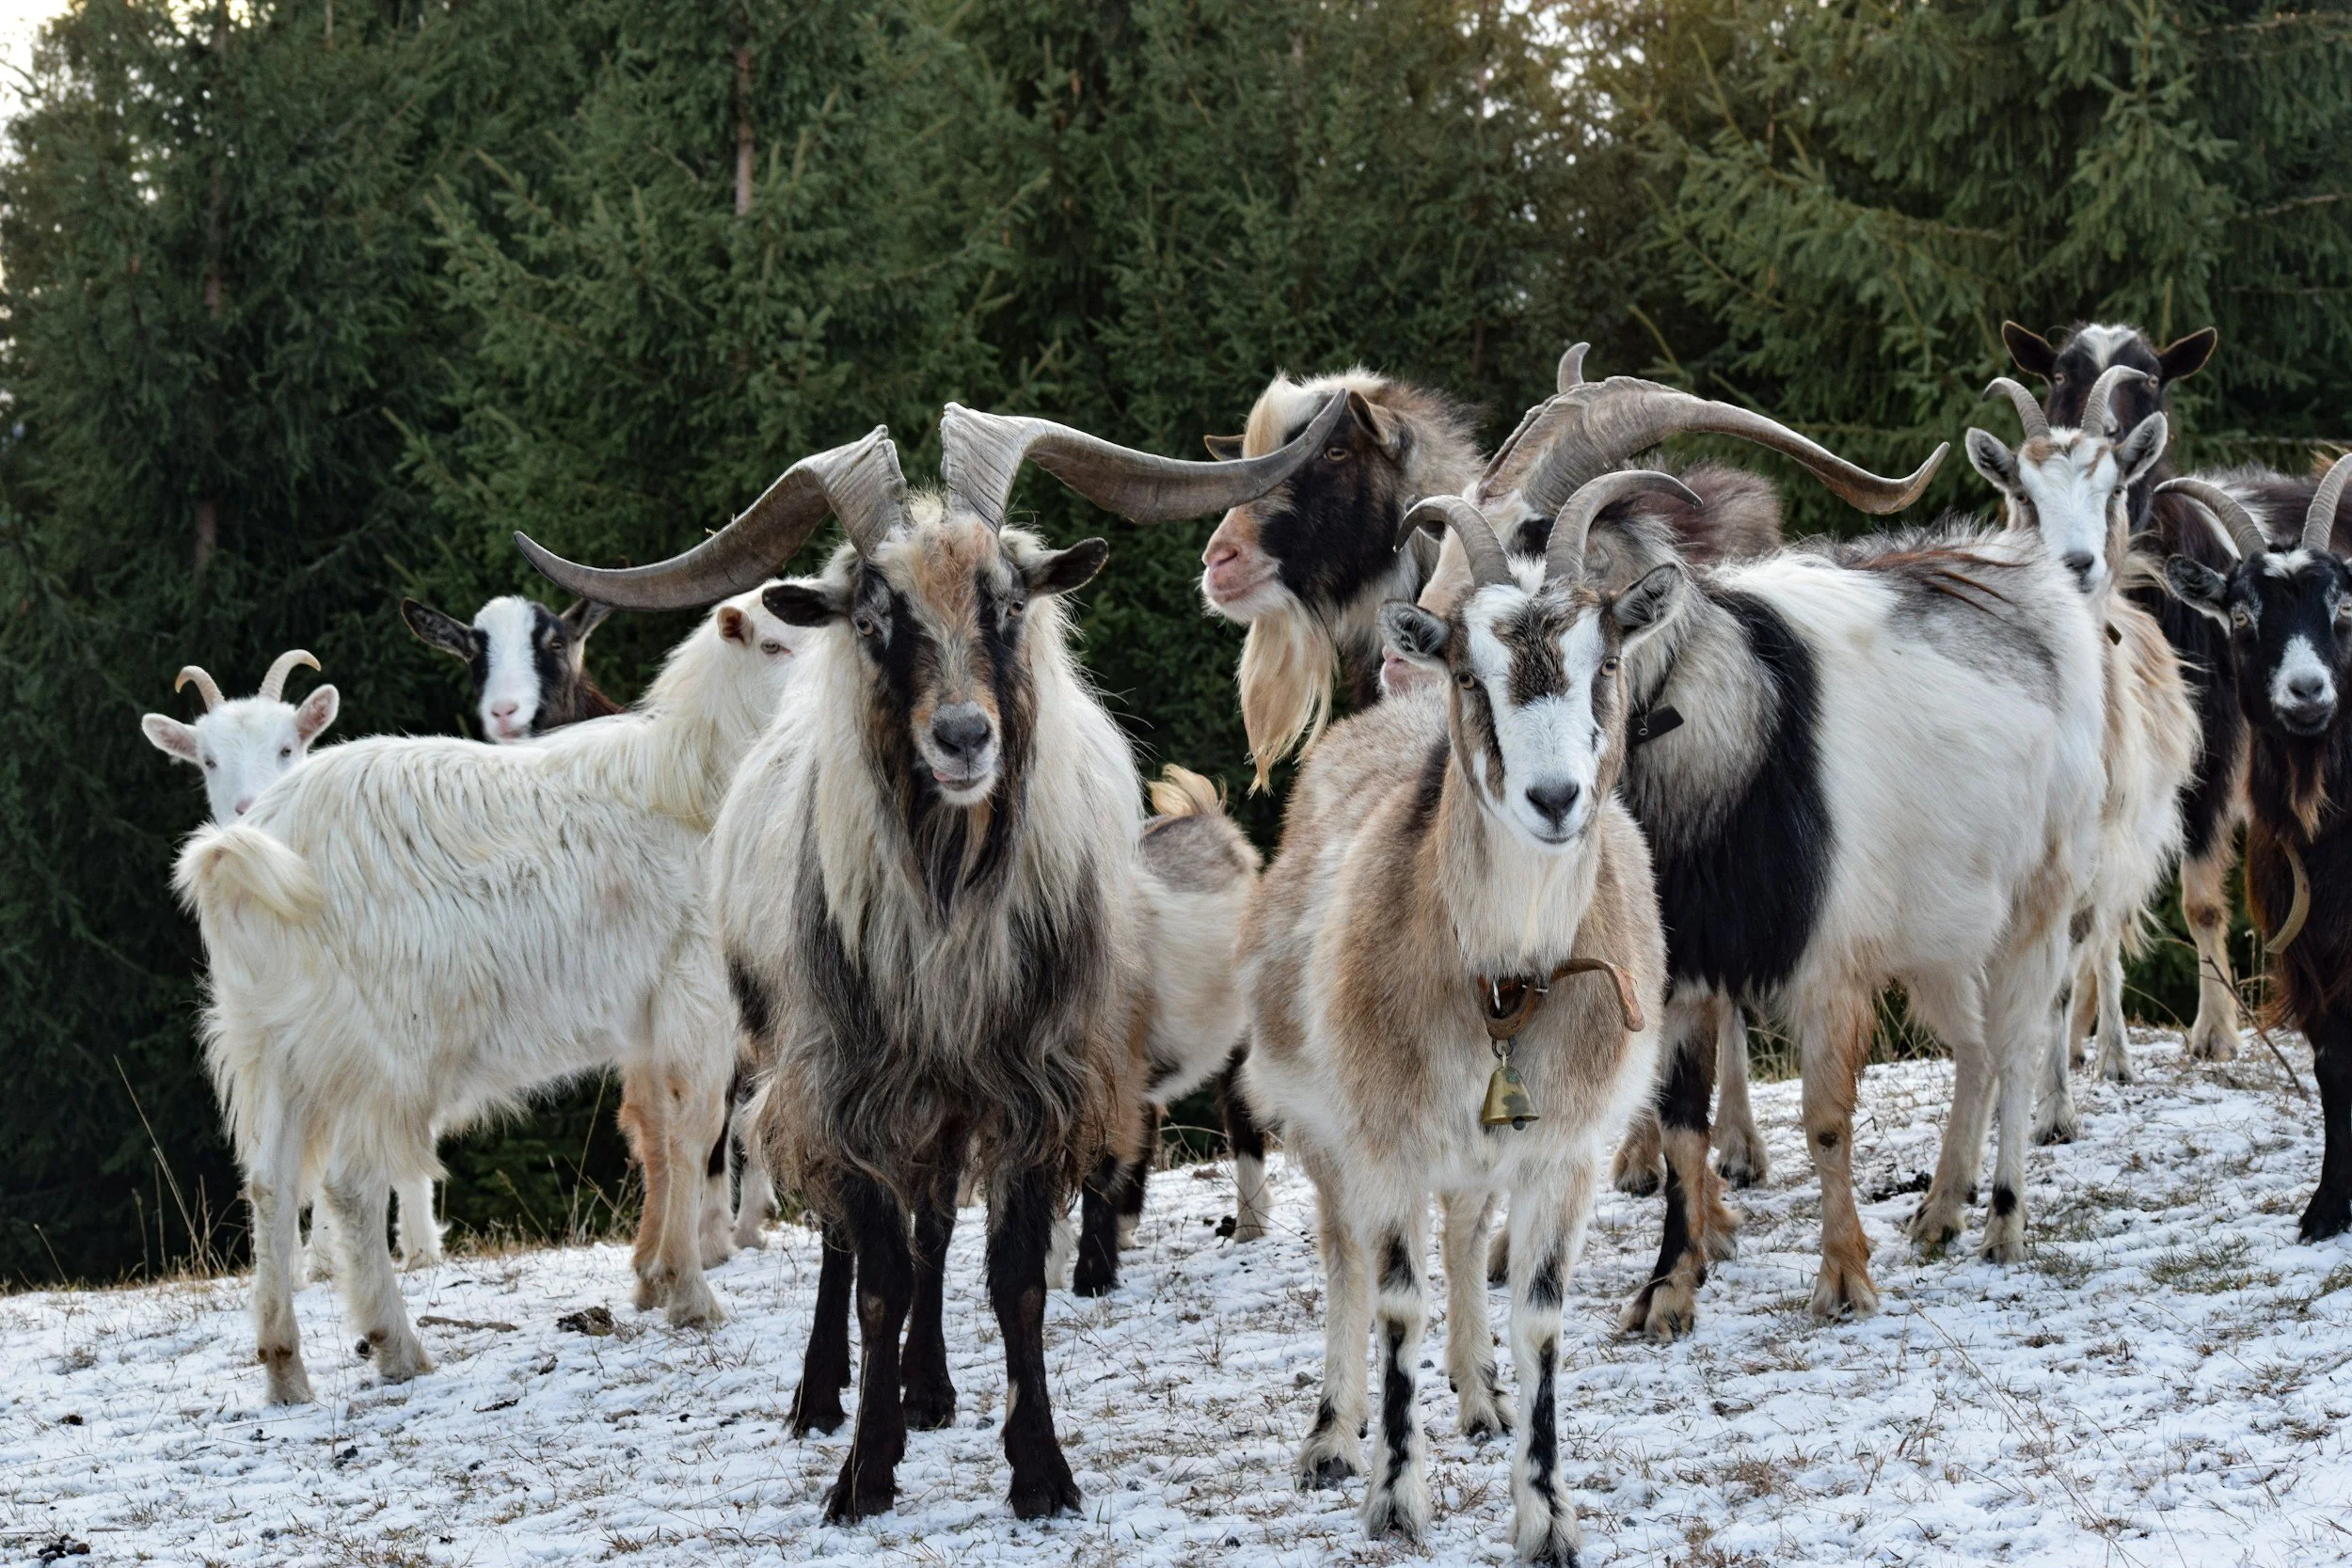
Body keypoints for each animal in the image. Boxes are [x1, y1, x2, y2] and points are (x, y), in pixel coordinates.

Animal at [516, 401, 1344, 1521]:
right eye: (872, 620)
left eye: (1009, 601)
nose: (961, 736)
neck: (950, 891)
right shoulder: (851, 1078)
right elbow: (875, 1276)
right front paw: (863, 1472)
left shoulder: (1033, 1077)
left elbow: (1009, 1272)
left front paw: (1038, 1468)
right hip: (809, 1064)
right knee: (847, 1240)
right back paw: (826, 1396)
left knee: (936, 1225)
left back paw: (932, 1385)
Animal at [1239, 471, 1685, 1561]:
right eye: (1472, 674)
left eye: (1607, 659)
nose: (1554, 796)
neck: (1502, 981)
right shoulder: (1385, 1135)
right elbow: (1393, 1295)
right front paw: (1396, 1498)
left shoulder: (1561, 1153)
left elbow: (1539, 1314)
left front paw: (1547, 1513)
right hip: (1319, 1127)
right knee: (1345, 1259)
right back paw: (1331, 1436)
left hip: (1481, 1156)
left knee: (1465, 1227)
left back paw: (1480, 1396)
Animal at [1967, 368, 2200, 1141]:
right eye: (2024, 496)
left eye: (2113, 487)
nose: (2077, 564)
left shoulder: (2087, 850)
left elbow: (2064, 978)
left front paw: (2054, 1112)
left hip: (2130, 846)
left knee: (2103, 945)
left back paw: (2113, 1058)